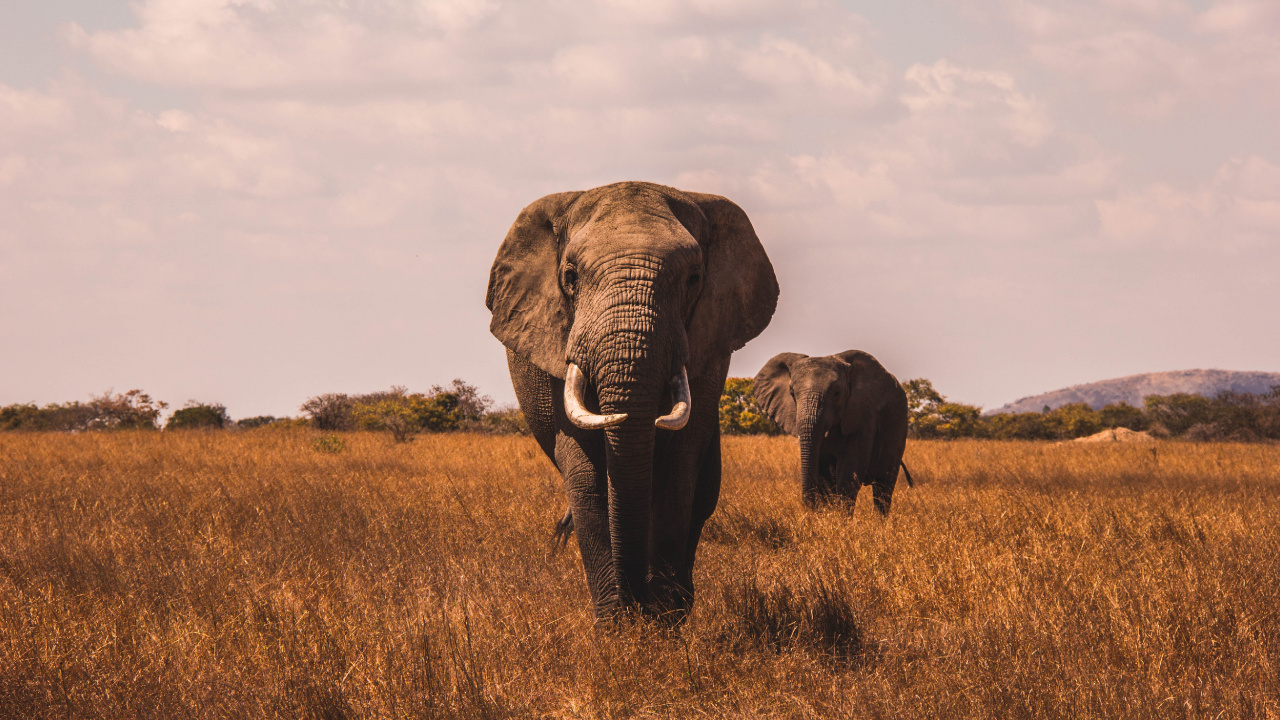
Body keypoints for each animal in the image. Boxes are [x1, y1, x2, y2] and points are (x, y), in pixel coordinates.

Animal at [486, 181, 778, 621]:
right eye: (570, 277)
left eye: (694, 278)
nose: (636, 604)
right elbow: (587, 476)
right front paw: (617, 626)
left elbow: (678, 472)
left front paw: (663, 622)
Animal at [753, 350, 913, 513]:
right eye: (792, 393)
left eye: (837, 393)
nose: (809, 507)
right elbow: (824, 475)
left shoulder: (863, 416)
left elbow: (849, 472)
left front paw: (840, 518)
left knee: (883, 488)